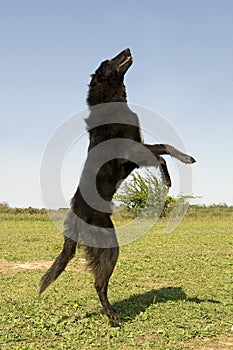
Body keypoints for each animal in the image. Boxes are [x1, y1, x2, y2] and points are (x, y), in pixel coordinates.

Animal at [39, 48, 195, 322]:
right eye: (108, 61)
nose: (128, 49)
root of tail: (75, 215)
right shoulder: (130, 153)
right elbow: (164, 150)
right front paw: (181, 164)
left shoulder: (136, 152)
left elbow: (163, 152)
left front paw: (169, 177)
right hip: (110, 247)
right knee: (99, 283)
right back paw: (112, 315)